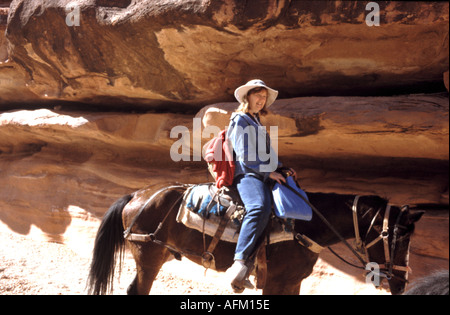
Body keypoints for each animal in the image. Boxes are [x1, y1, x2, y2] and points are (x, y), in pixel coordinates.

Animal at [88, 183, 426, 296]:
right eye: (398, 236)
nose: (401, 283)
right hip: (149, 257)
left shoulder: (292, 282)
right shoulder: (274, 282)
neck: (306, 225)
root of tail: (139, 194)